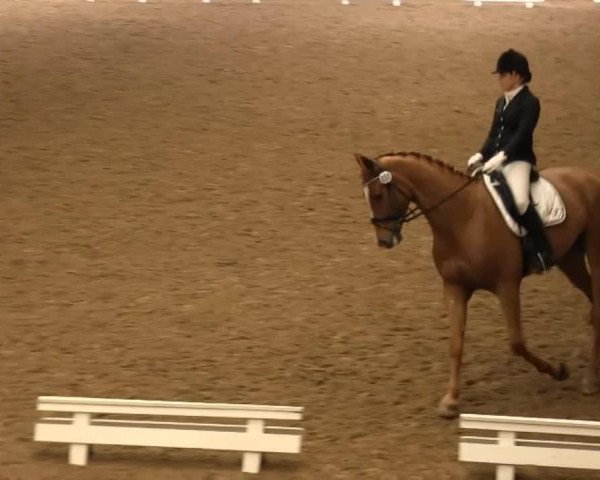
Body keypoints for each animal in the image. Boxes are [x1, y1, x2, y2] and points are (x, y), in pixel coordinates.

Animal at [354, 152, 600, 418]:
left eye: (378, 195)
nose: (384, 241)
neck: (463, 218)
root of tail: (589, 176)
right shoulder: (454, 287)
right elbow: (455, 344)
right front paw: (451, 401)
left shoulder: (507, 286)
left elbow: (517, 343)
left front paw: (558, 371)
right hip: (570, 258)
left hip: (594, 252)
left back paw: (590, 380)